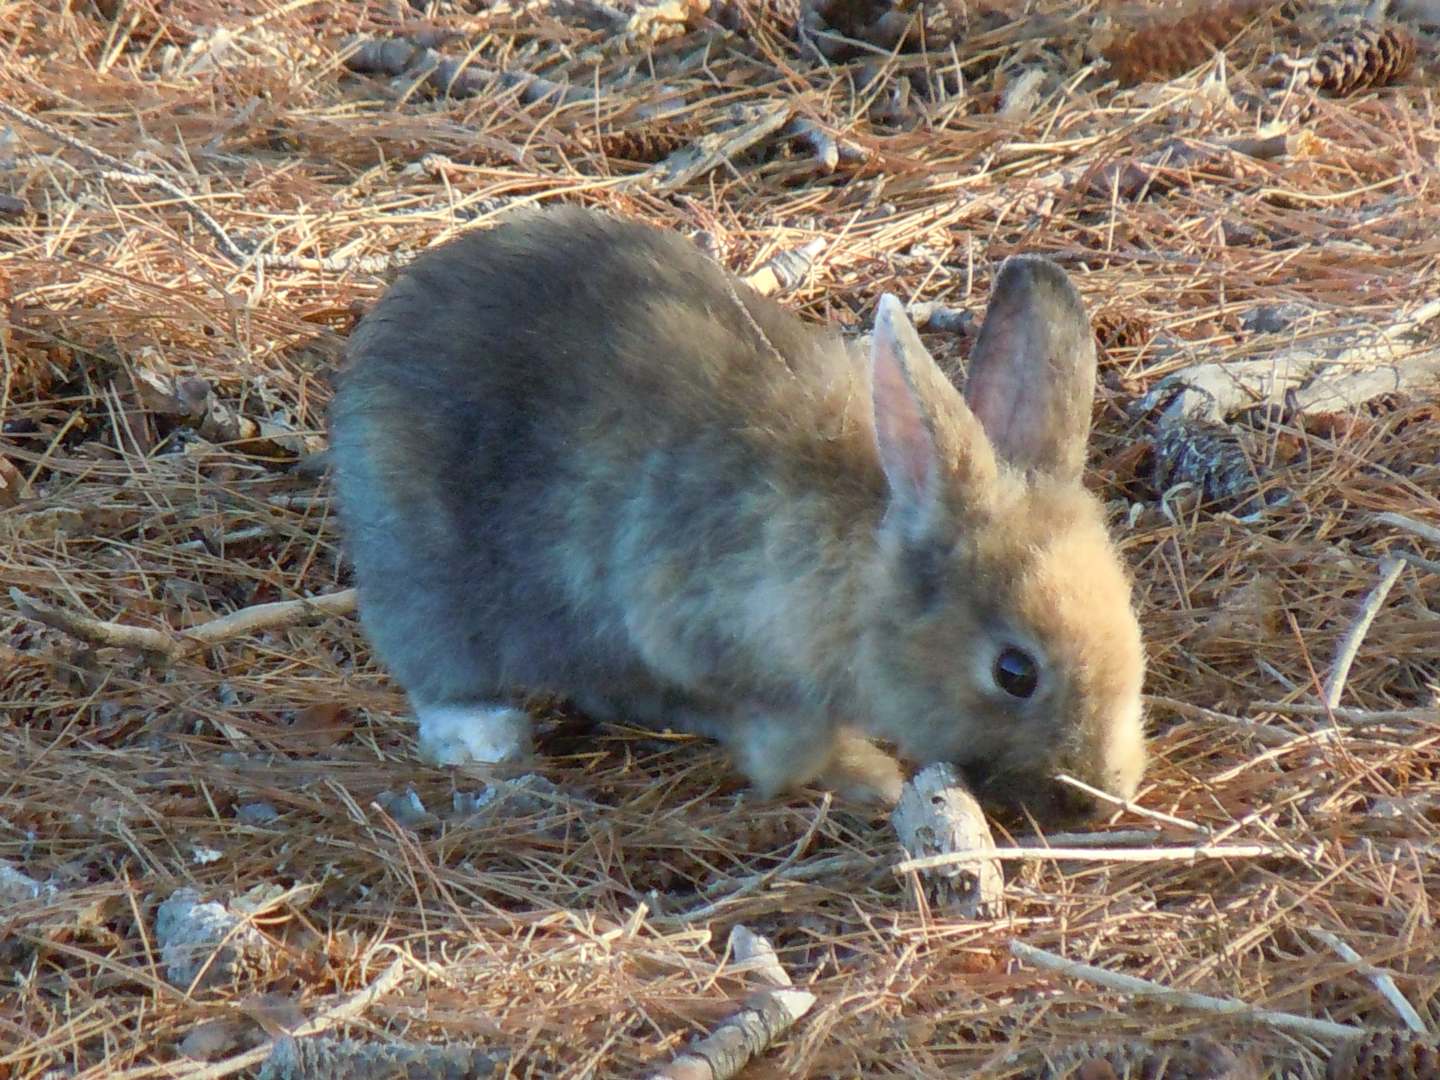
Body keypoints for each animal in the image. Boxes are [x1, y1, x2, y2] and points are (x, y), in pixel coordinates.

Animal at [329, 207, 1146, 823]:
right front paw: (869, 777)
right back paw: (484, 737)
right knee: (435, 665)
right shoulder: (706, 642)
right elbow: (789, 744)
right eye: (1015, 672)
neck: (862, 577)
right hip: (424, 572)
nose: (1097, 798)